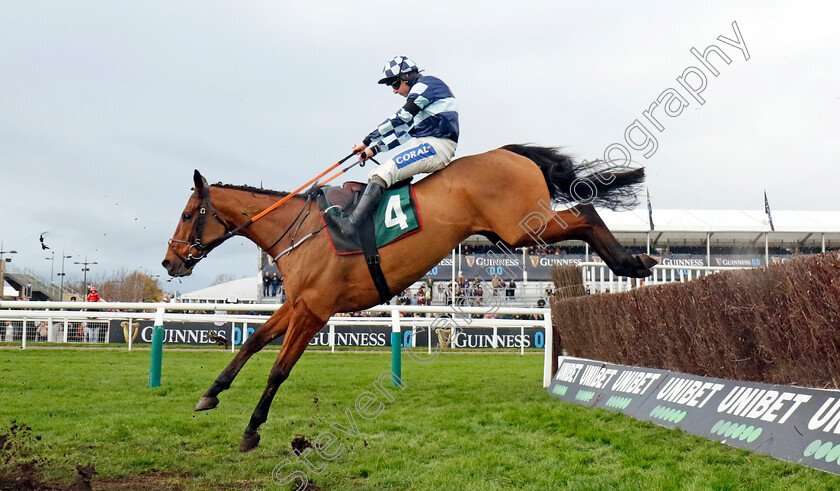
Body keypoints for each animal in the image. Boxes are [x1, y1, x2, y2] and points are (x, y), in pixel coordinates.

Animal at [159, 143, 656, 454]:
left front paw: (251, 429)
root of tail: (509, 152)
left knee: (585, 211)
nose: (169, 262)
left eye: (188, 213)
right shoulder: (296, 304)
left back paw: (631, 262)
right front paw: (210, 394)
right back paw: (633, 261)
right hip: (509, 231)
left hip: (520, 226)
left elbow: (279, 368)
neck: (302, 232)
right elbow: (252, 341)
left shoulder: (315, 311)